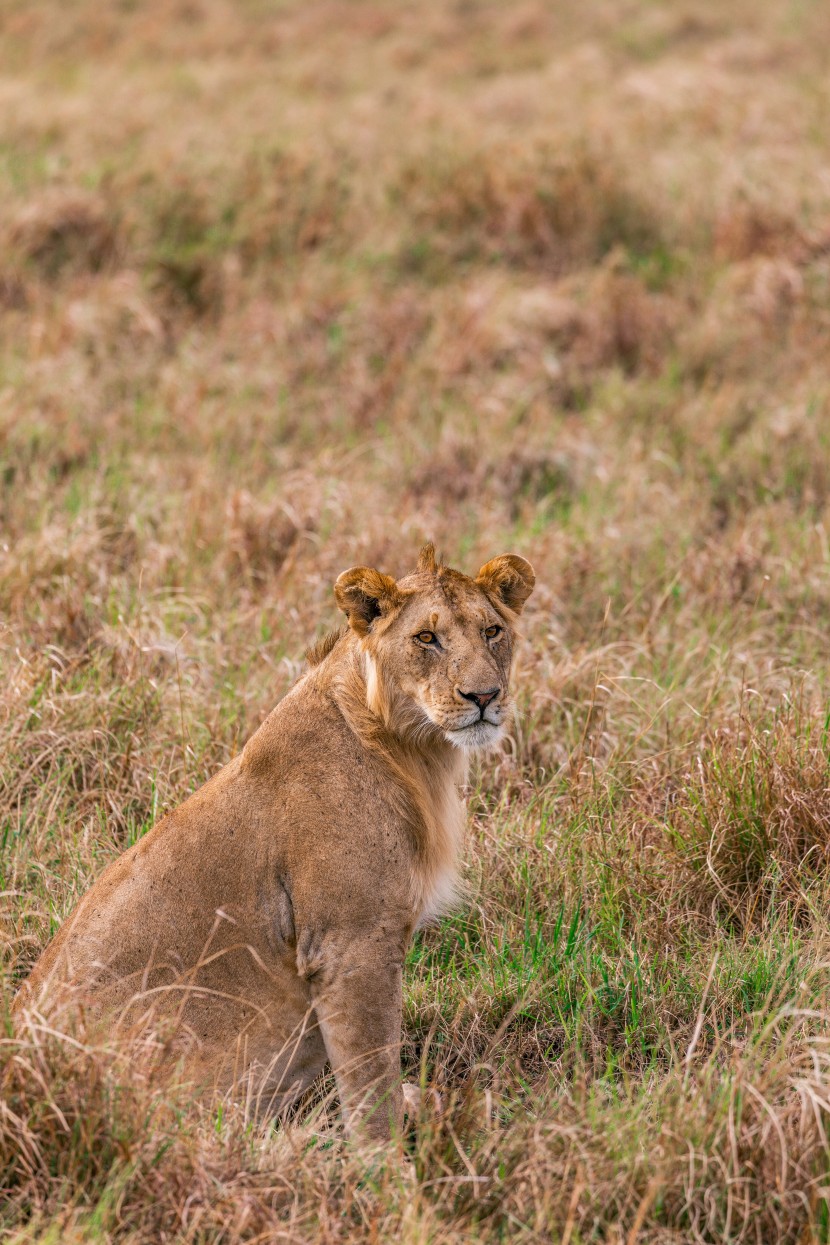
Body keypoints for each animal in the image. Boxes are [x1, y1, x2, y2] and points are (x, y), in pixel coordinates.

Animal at [17, 542, 540, 1140]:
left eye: (492, 631)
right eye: (426, 638)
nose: (485, 696)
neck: (414, 751)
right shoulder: (350, 946)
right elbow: (371, 1084)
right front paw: (386, 1164)